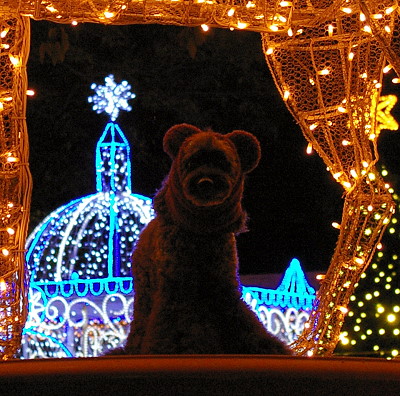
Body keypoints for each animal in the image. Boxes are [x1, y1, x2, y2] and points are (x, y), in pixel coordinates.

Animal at [122, 123, 290, 352]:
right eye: (192, 162)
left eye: (223, 163)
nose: (205, 182)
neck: (201, 235)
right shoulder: (175, 290)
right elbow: (170, 331)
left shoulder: (223, 287)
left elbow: (243, 323)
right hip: (146, 289)